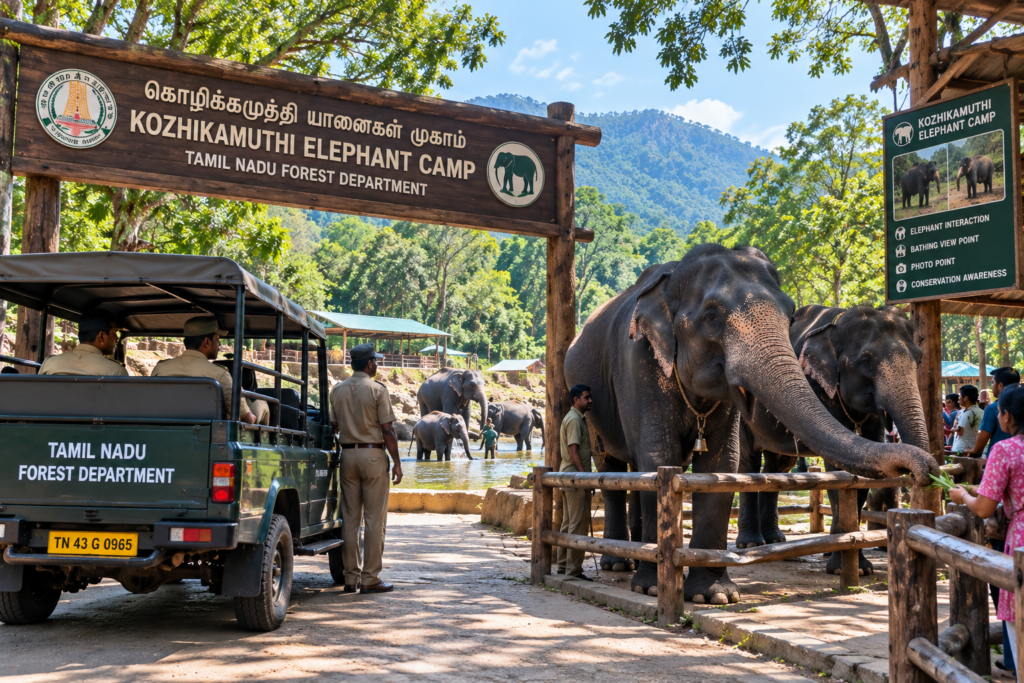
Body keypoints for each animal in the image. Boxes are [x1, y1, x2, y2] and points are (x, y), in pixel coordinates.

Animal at [736, 304, 928, 576]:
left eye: (919, 358)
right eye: (866, 362)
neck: (839, 323)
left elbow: (864, 472)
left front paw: (861, 568)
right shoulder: (819, 388)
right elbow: (838, 470)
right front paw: (842, 568)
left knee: (776, 465)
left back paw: (774, 540)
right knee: (749, 462)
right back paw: (751, 544)